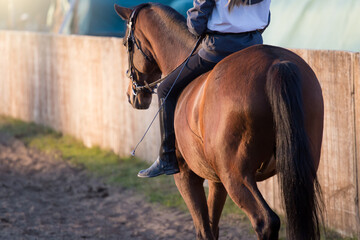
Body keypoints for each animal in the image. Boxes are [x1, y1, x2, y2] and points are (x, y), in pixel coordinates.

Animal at [114, 2, 324, 240]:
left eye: (125, 44)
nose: (132, 96)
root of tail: (277, 63)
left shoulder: (187, 175)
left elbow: (203, 229)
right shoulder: (216, 179)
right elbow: (212, 226)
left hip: (236, 176)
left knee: (266, 221)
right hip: (299, 174)